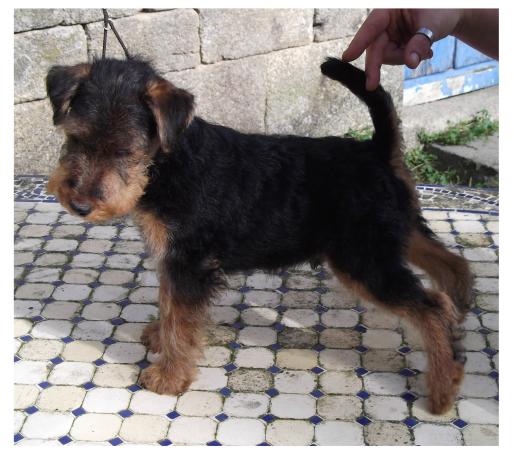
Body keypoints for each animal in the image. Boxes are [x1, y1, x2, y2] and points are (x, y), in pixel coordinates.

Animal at [45, 57, 473, 414]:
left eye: (124, 151)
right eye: (75, 138)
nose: (79, 204)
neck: (169, 159)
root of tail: (377, 151)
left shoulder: (188, 262)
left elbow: (180, 319)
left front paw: (168, 376)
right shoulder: (175, 259)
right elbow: (170, 307)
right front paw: (160, 337)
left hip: (364, 259)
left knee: (431, 307)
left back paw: (443, 387)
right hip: (393, 232)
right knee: (451, 263)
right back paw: (462, 309)